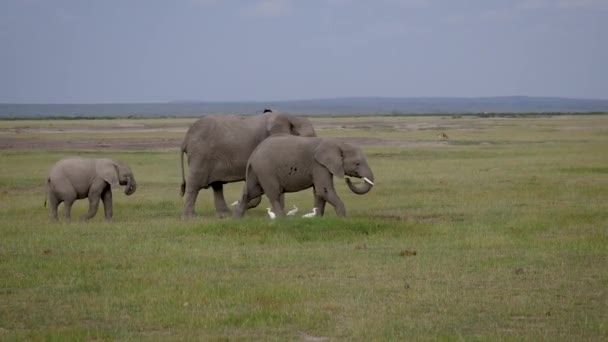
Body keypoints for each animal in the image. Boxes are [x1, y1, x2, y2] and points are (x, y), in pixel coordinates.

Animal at [179, 109, 316, 218]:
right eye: (309, 137)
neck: (293, 118)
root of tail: (185, 139)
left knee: (216, 185)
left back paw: (224, 214)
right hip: (200, 154)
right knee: (195, 184)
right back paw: (190, 217)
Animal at [234, 134, 372, 219]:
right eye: (357, 163)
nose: (347, 179)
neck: (337, 143)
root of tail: (253, 154)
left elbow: (319, 193)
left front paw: (317, 218)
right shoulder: (319, 165)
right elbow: (324, 190)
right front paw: (343, 219)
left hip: (257, 171)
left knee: (250, 193)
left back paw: (237, 219)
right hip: (266, 170)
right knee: (274, 194)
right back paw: (282, 220)